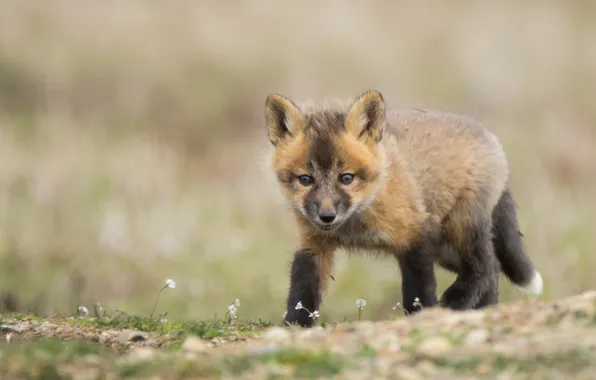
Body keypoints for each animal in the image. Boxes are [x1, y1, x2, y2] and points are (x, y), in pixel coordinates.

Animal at [266, 88, 544, 326]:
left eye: (346, 178)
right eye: (305, 179)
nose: (326, 216)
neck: (356, 223)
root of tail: (493, 141)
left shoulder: (414, 238)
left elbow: (418, 292)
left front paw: (422, 316)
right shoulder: (313, 244)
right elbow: (301, 294)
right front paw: (295, 327)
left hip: (462, 227)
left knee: (484, 265)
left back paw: (459, 300)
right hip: (444, 249)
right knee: (494, 268)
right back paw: (486, 309)